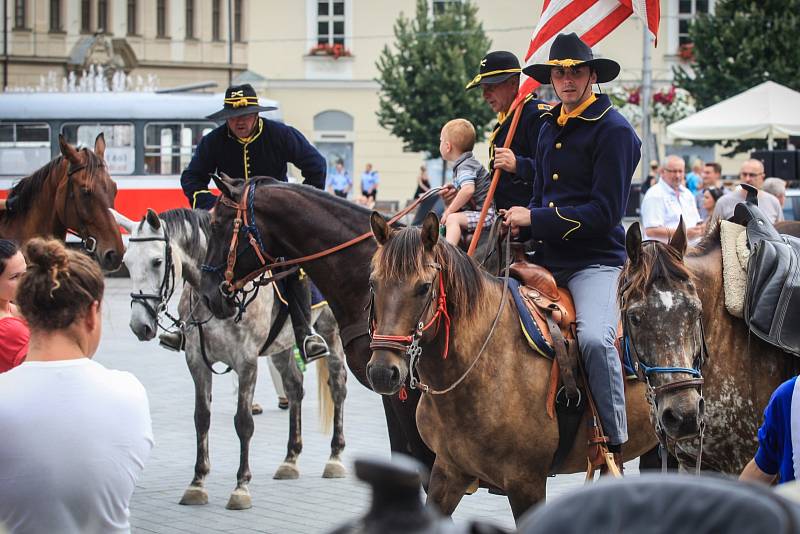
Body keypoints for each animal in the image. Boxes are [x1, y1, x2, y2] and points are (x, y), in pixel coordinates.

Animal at [115, 208, 346, 510]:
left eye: (156, 261)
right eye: (127, 263)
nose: (139, 325)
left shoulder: (246, 361)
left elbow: (243, 422)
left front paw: (241, 487)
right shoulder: (197, 362)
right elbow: (201, 418)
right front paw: (197, 483)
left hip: (331, 331)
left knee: (338, 386)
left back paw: (335, 457)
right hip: (281, 346)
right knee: (294, 388)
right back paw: (290, 459)